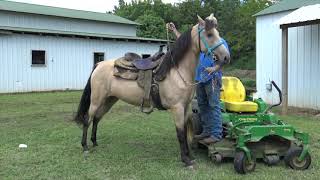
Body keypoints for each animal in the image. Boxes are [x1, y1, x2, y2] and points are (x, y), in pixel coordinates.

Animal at [74, 13, 230, 167]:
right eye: (209, 34)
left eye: (217, 33)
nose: (226, 57)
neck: (176, 71)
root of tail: (99, 64)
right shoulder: (177, 108)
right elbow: (180, 134)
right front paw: (185, 160)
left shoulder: (186, 108)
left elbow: (185, 131)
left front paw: (190, 156)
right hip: (96, 100)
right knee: (88, 119)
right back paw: (85, 146)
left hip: (109, 100)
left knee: (97, 118)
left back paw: (94, 142)